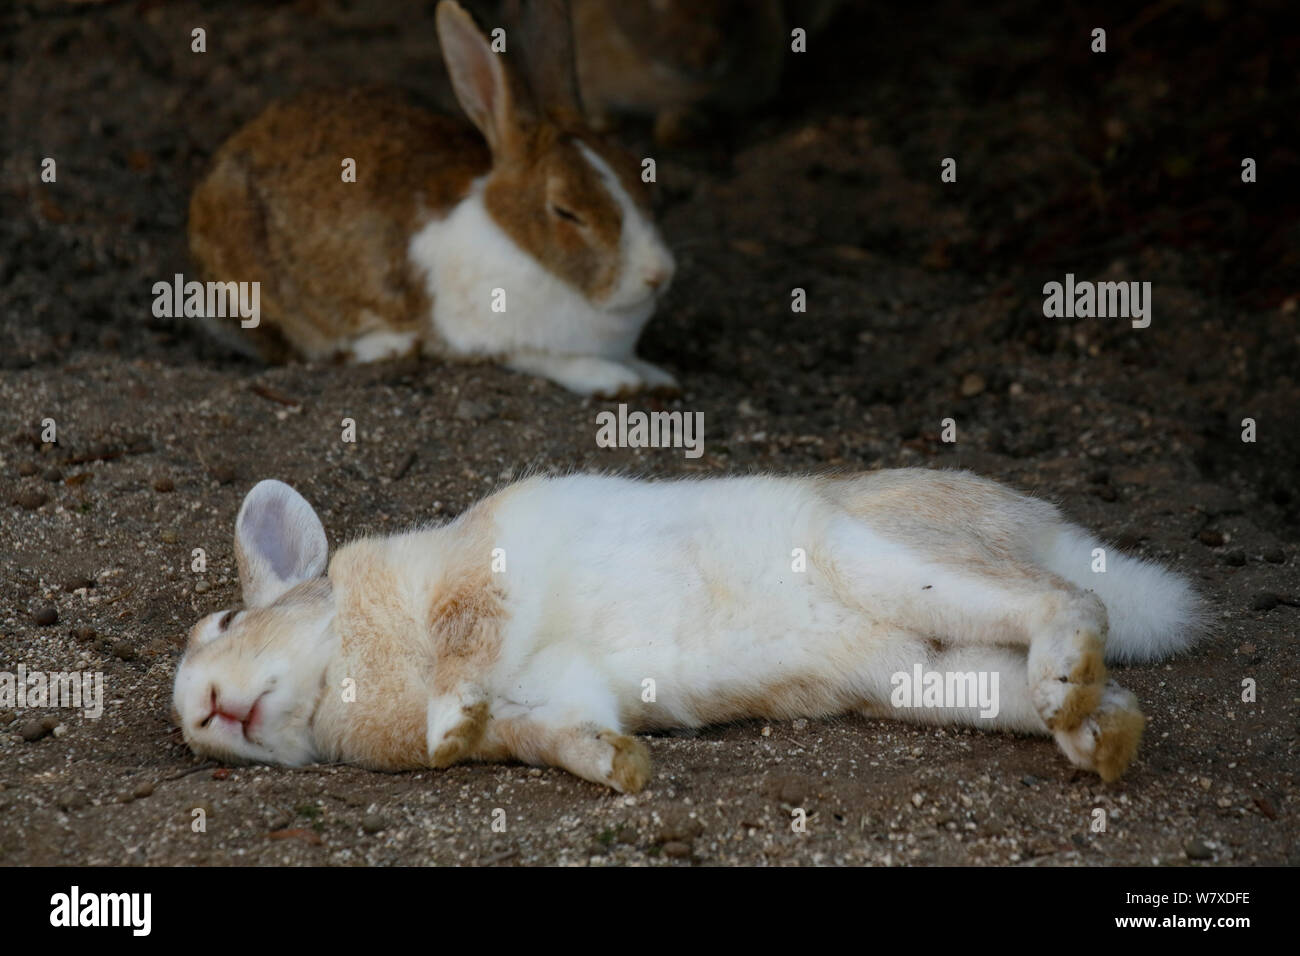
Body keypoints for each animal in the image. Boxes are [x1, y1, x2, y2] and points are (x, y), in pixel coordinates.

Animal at [172, 470, 1206, 790]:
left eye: (224, 619)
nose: (201, 713)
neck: (352, 650)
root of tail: (1042, 526)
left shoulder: (480, 579)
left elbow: (470, 639)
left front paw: (444, 723)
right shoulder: (548, 700)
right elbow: (554, 734)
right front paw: (622, 769)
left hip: (883, 556)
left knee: (1072, 603)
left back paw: (1073, 676)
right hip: (931, 676)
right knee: (1081, 686)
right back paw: (1097, 734)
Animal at [192, 0, 686, 395]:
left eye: (639, 176)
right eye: (566, 212)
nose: (658, 275)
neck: (518, 242)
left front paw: (658, 377)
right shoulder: (484, 337)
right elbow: (549, 359)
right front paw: (615, 381)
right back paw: (389, 345)